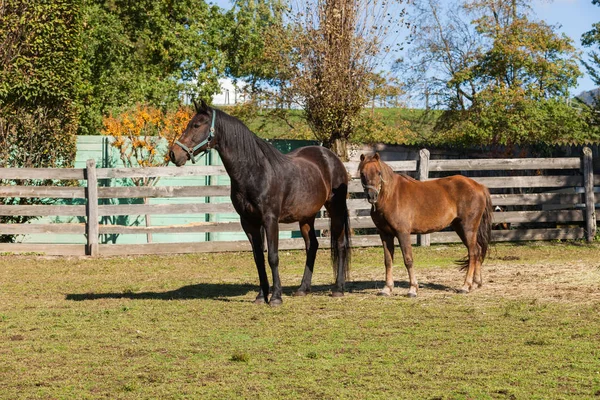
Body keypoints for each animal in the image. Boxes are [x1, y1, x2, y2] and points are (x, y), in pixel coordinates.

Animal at [168, 101, 352, 306]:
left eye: (197, 125)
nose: (174, 154)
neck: (255, 171)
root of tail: (331, 157)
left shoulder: (270, 220)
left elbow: (273, 256)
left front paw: (276, 297)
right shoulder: (249, 222)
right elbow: (258, 258)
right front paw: (261, 296)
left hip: (335, 210)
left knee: (341, 244)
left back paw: (338, 289)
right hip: (306, 217)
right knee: (312, 245)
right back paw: (302, 289)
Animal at [356, 153, 492, 296]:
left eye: (379, 172)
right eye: (362, 173)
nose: (372, 196)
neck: (391, 197)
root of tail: (479, 186)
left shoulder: (403, 233)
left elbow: (408, 260)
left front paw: (412, 289)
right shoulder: (385, 234)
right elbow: (388, 261)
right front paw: (387, 289)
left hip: (468, 228)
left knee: (473, 253)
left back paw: (465, 286)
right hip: (460, 228)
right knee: (477, 250)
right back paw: (475, 283)